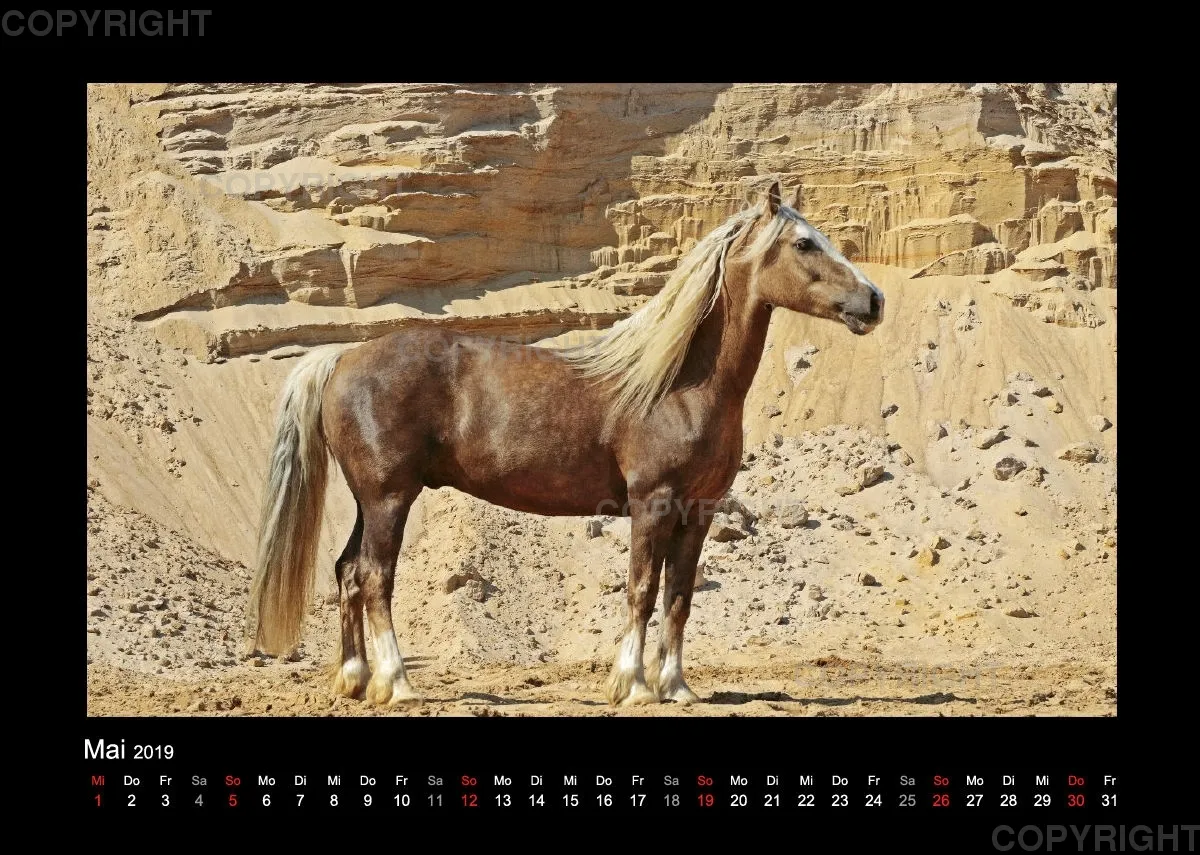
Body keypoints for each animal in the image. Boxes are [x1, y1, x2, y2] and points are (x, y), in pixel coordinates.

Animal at [244, 179, 884, 707]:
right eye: (804, 244)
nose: (874, 300)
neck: (680, 381)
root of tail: (343, 357)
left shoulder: (697, 513)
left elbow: (679, 596)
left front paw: (676, 687)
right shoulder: (652, 505)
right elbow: (642, 591)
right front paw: (632, 686)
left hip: (370, 500)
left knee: (348, 572)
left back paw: (355, 679)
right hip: (389, 499)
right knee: (375, 577)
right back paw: (397, 683)